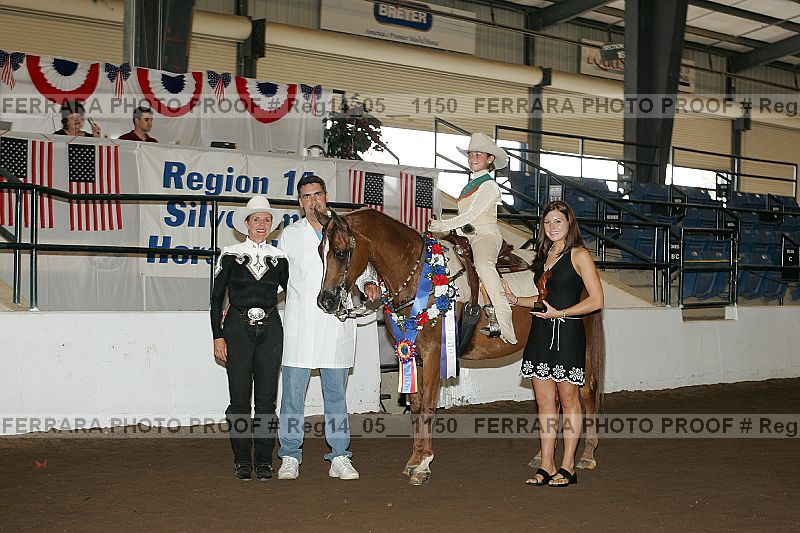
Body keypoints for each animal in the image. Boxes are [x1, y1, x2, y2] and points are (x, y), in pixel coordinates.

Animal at [316, 208, 605, 485]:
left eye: (340, 253)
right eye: (320, 251)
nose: (325, 301)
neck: (419, 274)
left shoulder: (433, 353)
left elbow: (428, 406)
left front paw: (423, 465)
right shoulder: (411, 354)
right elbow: (415, 404)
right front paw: (414, 459)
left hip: (583, 348)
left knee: (587, 390)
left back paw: (588, 455)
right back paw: (542, 456)